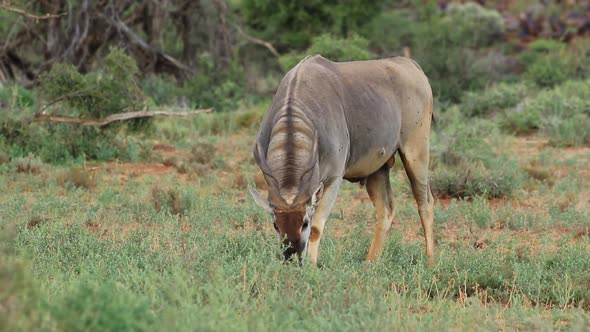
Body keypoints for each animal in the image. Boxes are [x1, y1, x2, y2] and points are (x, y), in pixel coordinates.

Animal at [247, 55, 438, 266]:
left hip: (416, 153)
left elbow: (317, 229)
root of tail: (411, 65)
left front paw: (312, 267)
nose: (292, 257)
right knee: (386, 209)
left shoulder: (333, 179)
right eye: (276, 225)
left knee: (425, 203)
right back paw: (370, 263)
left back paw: (430, 261)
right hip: (377, 169)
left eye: (305, 222)